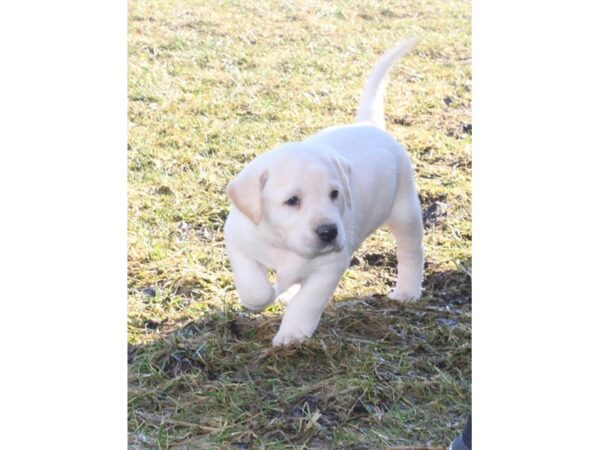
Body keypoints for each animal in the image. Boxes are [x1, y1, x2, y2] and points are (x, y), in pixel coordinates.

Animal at [223, 39, 424, 348]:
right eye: (292, 201)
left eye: (334, 194)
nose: (329, 232)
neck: (284, 245)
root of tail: (368, 125)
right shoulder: (237, 239)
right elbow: (254, 286)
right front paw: (267, 296)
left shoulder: (329, 267)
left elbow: (306, 302)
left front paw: (292, 334)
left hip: (405, 211)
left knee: (411, 253)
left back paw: (407, 291)